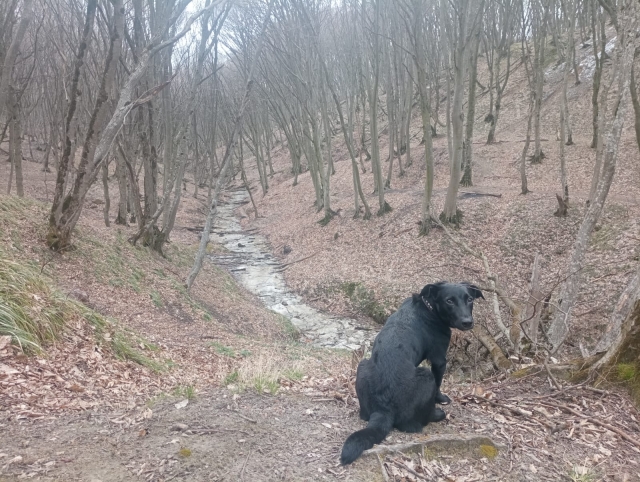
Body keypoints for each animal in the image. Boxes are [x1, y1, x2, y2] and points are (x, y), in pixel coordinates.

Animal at [340, 280, 480, 466]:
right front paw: (441, 399)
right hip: (426, 376)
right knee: (415, 422)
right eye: (449, 301)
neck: (429, 307)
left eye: (470, 299)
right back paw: (436, 414)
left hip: (362, 366)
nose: (467, 322)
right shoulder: (439, 359)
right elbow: (439, 384)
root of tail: (383, 408)